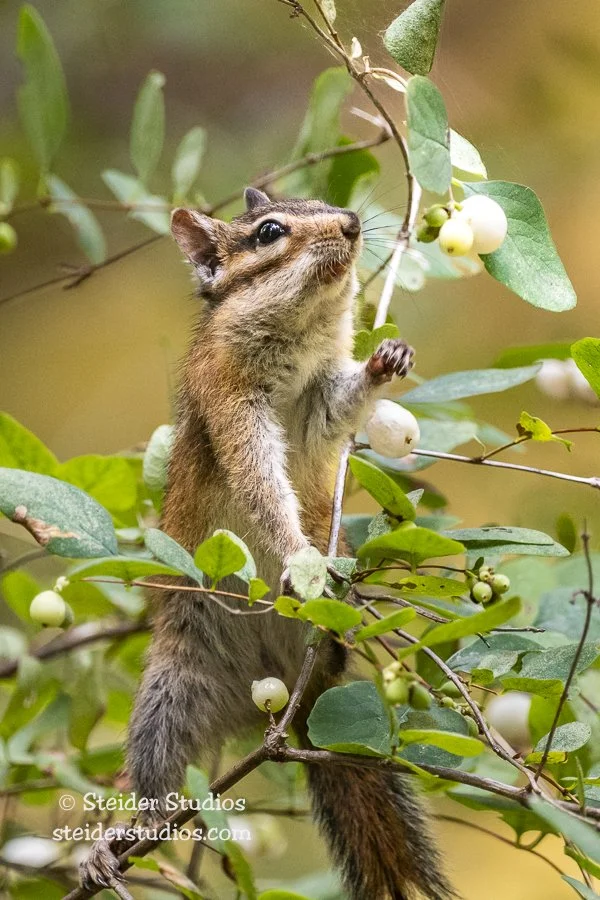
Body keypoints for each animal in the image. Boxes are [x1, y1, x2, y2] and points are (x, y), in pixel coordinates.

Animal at [81, 188, 455, 900]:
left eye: (328, 203)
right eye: (269, 232)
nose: (353, 223)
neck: (300, 338)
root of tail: (292, 704)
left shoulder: (320, 400)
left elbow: (342, 407)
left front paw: (386, 360)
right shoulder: (234, 405)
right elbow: (260, 485)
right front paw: (300, 555)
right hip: (169, 697)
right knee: (156, 786)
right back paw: (111, 845)